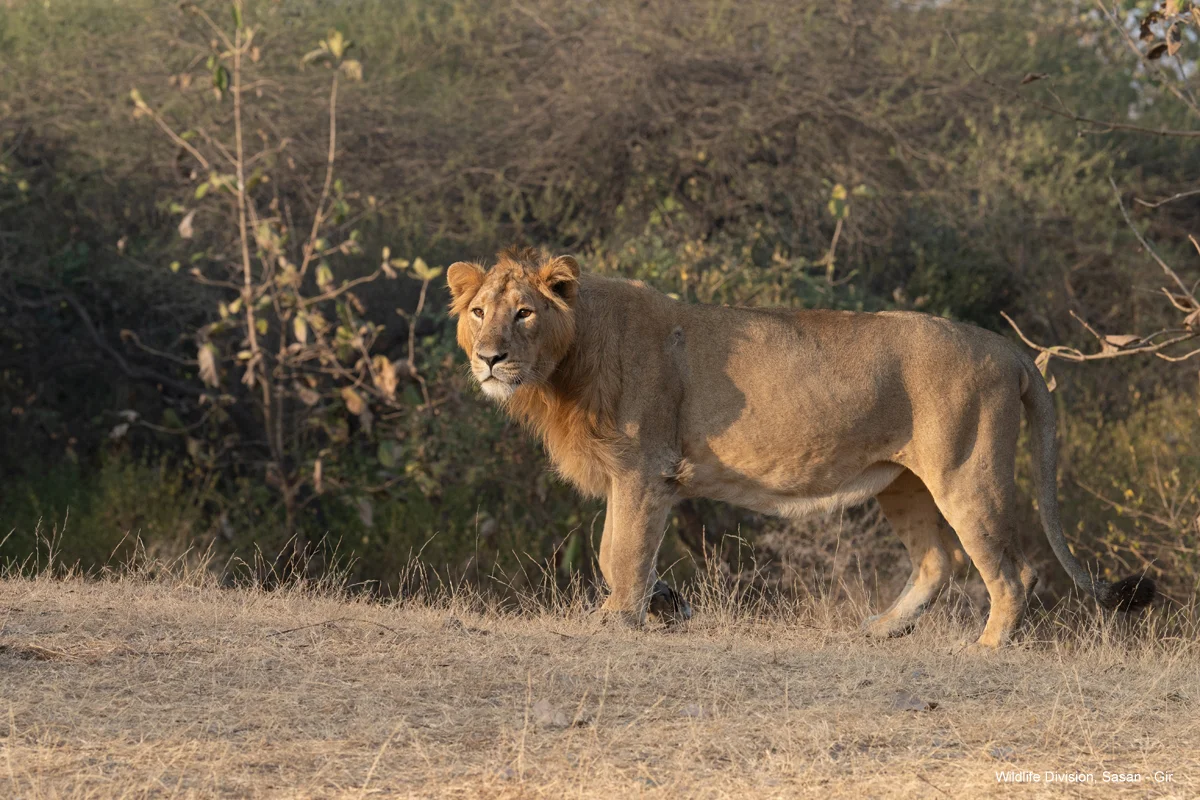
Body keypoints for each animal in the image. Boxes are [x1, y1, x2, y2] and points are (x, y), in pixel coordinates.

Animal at [446, 247, 1155, 647]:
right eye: (479, 312)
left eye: (524, 313)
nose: (490, 359)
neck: (565, 365)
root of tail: (1010, 350)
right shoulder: (630, 475)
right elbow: (613, 552)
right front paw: (638, 609)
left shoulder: (648, 469)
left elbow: (623, 552)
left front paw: (620, 622)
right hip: (902, 481)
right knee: (939, 561)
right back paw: (880, 630)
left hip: (965, 471)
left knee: (1013, 570)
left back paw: (984, 649)